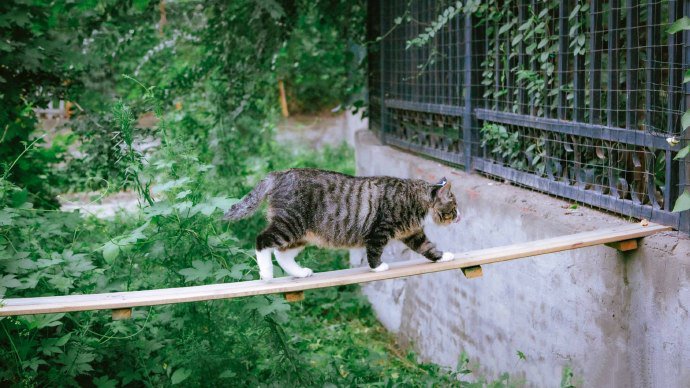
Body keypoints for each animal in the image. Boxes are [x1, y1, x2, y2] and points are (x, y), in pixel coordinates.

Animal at [224, 168, 456, 280]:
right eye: (454, 207)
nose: (459, 216)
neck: (415, 198)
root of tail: (280, 174)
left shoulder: (413, 234)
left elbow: (428, 248)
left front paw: (444, 256)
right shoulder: (379, 231)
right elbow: (374, 252)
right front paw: (378, 268)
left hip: (300, 234)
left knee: (282, 253)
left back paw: (299, 273)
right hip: (289, 224)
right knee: (262, 241)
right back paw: (266, 273)